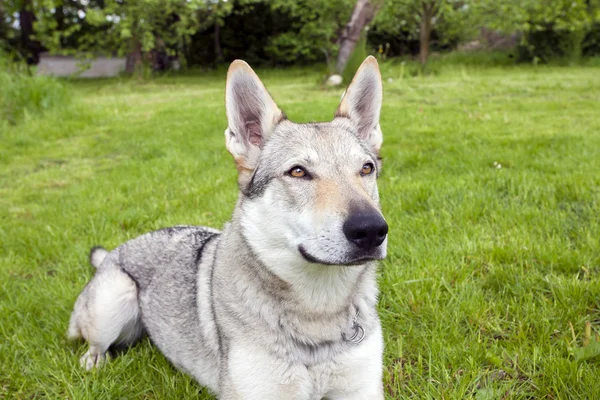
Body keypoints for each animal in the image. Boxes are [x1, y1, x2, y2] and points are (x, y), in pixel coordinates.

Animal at [68, 55, 390, 396]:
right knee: (92, 349)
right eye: (298, 172)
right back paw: (95, 363)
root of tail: (115, 251)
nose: (371, 229)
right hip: (113, 303)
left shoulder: (362, 390)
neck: (320, 312)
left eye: (366, 169)